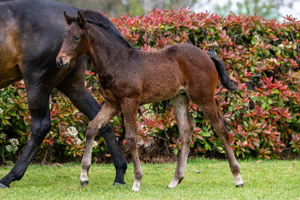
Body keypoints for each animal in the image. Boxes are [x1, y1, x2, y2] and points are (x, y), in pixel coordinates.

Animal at [0, 0, 126, 188]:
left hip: (37, 81)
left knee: (40, 126)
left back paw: (10, 177)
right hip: (73, 86)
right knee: (99, 119)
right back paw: (119, 173)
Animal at [56, 9, 244, 191]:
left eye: (77, 37)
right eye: (64, 36)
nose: (60, 61)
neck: (118, 61)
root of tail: (205, 53)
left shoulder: (130, 101)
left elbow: (131, 138)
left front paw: (137, 180)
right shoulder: (112, 103)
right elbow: (92, 127)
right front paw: (84, 177)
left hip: (203, 97)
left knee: (220, 126)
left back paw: (238, 178)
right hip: (180, 98)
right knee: (186, 131)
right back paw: (175, 180)